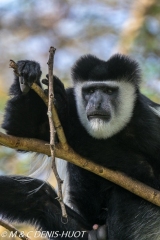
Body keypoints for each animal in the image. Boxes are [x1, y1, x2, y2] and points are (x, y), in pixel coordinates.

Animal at [0, 54, 160, 240]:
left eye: (109, 91)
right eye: (90, 91)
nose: (96, 102)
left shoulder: (146, 122)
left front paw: (63, 110)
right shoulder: (73, 99)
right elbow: (25, 130)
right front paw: (27, 73)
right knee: (37, 196)